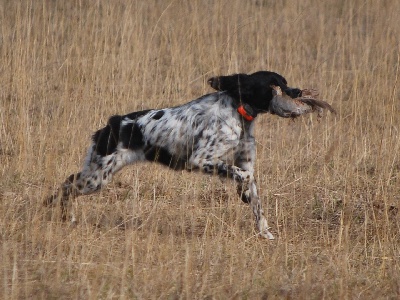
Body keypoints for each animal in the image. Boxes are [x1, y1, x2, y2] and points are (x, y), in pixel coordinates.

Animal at [47, 70, 304, 239]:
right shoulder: (201, 160)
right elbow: (243, 176)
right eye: (275, 85)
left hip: (97, 174)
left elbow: (256, 201)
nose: (299, 91)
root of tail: (110, 125)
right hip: (97, 177)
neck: (238, 112)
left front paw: (264, 231)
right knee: (66, 185)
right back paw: (64, 216)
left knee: (68, 181)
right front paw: (243, 193)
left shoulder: (245, 162)